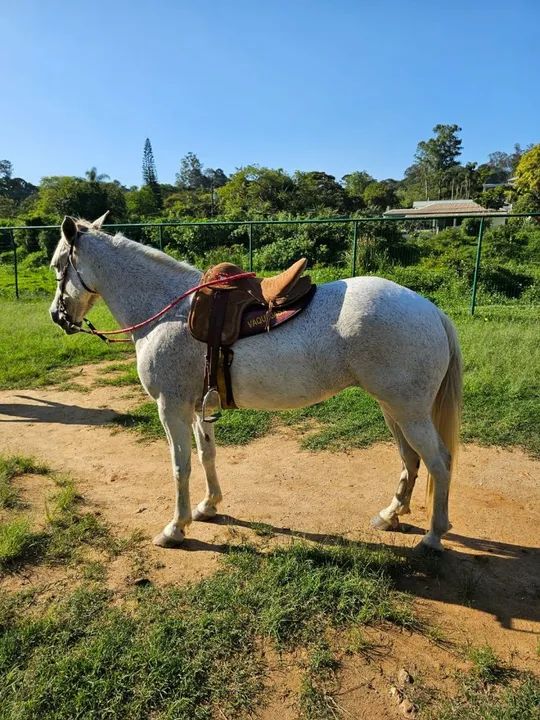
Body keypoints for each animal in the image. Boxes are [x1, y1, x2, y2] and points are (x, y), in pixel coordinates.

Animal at [49, 214, 462, 553]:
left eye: (57, 266)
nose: (57, 316)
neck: (169, 312)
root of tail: (430, 309)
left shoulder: (171, 407)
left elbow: (180, 466)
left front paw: (176, 528)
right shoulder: (196, 407)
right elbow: (207, 455)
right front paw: (208, 506)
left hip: (409, 413)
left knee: (439, 462)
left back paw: (433, 536)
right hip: (393, 410)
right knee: (411, 460)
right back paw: (391, 514)